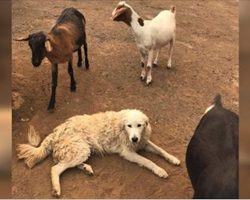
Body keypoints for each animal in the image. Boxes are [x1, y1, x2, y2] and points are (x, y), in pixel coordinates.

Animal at [17, 108, 180, 196]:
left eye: (139, 125)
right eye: (129, 125)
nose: (134, 139)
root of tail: (56, 131)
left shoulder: (143, 142)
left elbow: (161, 150)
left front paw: (173, 159)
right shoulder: (128, 152)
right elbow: (148, 161)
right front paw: (160, 170)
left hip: (81, 150)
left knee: (66, 163)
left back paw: (86, 168)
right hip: (80, 149)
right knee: (55, 168)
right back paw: (57, 189)